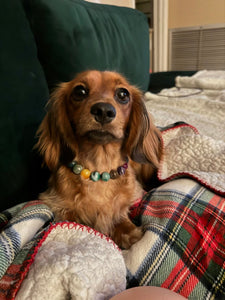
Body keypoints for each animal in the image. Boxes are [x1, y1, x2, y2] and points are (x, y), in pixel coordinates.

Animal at [36, 70, 161, 248]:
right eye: (79, 91)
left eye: (123, 94)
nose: (103, 110)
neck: (100, 168)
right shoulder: (57, 203)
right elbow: (71, 218)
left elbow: (119, 214)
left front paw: (131, 234)